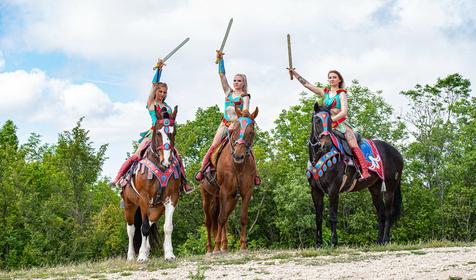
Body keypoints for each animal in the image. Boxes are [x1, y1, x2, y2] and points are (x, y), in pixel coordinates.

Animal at [121, 106, 182, 262]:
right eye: (158, 132)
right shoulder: (144, 198)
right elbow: (143, 228)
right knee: (131, 229)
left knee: (149, 223)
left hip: (156, 208)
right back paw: (131, 256)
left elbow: (168, 227)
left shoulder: (172, 198)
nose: (166, 160)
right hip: (130, 205)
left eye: (174, 132)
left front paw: (169, 254)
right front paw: (141, 256)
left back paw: (146, 249)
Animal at [201, 106, 260, 254]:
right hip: (207, 195)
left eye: (251, 132)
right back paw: (210, 249)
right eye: (234, 131)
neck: (238, 166)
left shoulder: (246, 192)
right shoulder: (225, 191)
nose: (238, 156)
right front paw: (216, 248)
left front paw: (243, 246)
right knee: (209, 221)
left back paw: (225, 246)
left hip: (230, 198)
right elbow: (220, 219)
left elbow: (243, 218)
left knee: (225, 219)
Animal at [306, 103, 404, 247]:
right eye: (317, 120)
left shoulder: (333, 189)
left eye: (329, 121)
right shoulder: (316, 191)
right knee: (381, 213)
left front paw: (333, 243)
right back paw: (378, 242)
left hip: (389, 189)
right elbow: (318, 218)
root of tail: (397, 154)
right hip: (375, 189)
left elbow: (333, 216)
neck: (319, 157)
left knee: (388, 214)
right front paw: (318, 244)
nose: (326, 145)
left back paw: (385, 240)